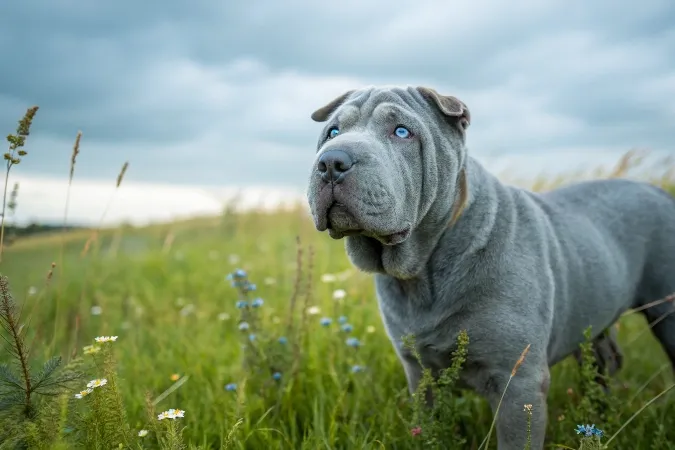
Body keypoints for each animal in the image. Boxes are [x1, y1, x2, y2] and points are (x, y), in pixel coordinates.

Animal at [304, 85, 675, 450]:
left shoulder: (519, 383)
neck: (426, 268)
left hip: (666, 312)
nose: (332, 161)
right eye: (332, 132)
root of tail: (659, 192)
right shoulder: (420, 375)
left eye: (402, 132)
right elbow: (426, 427)